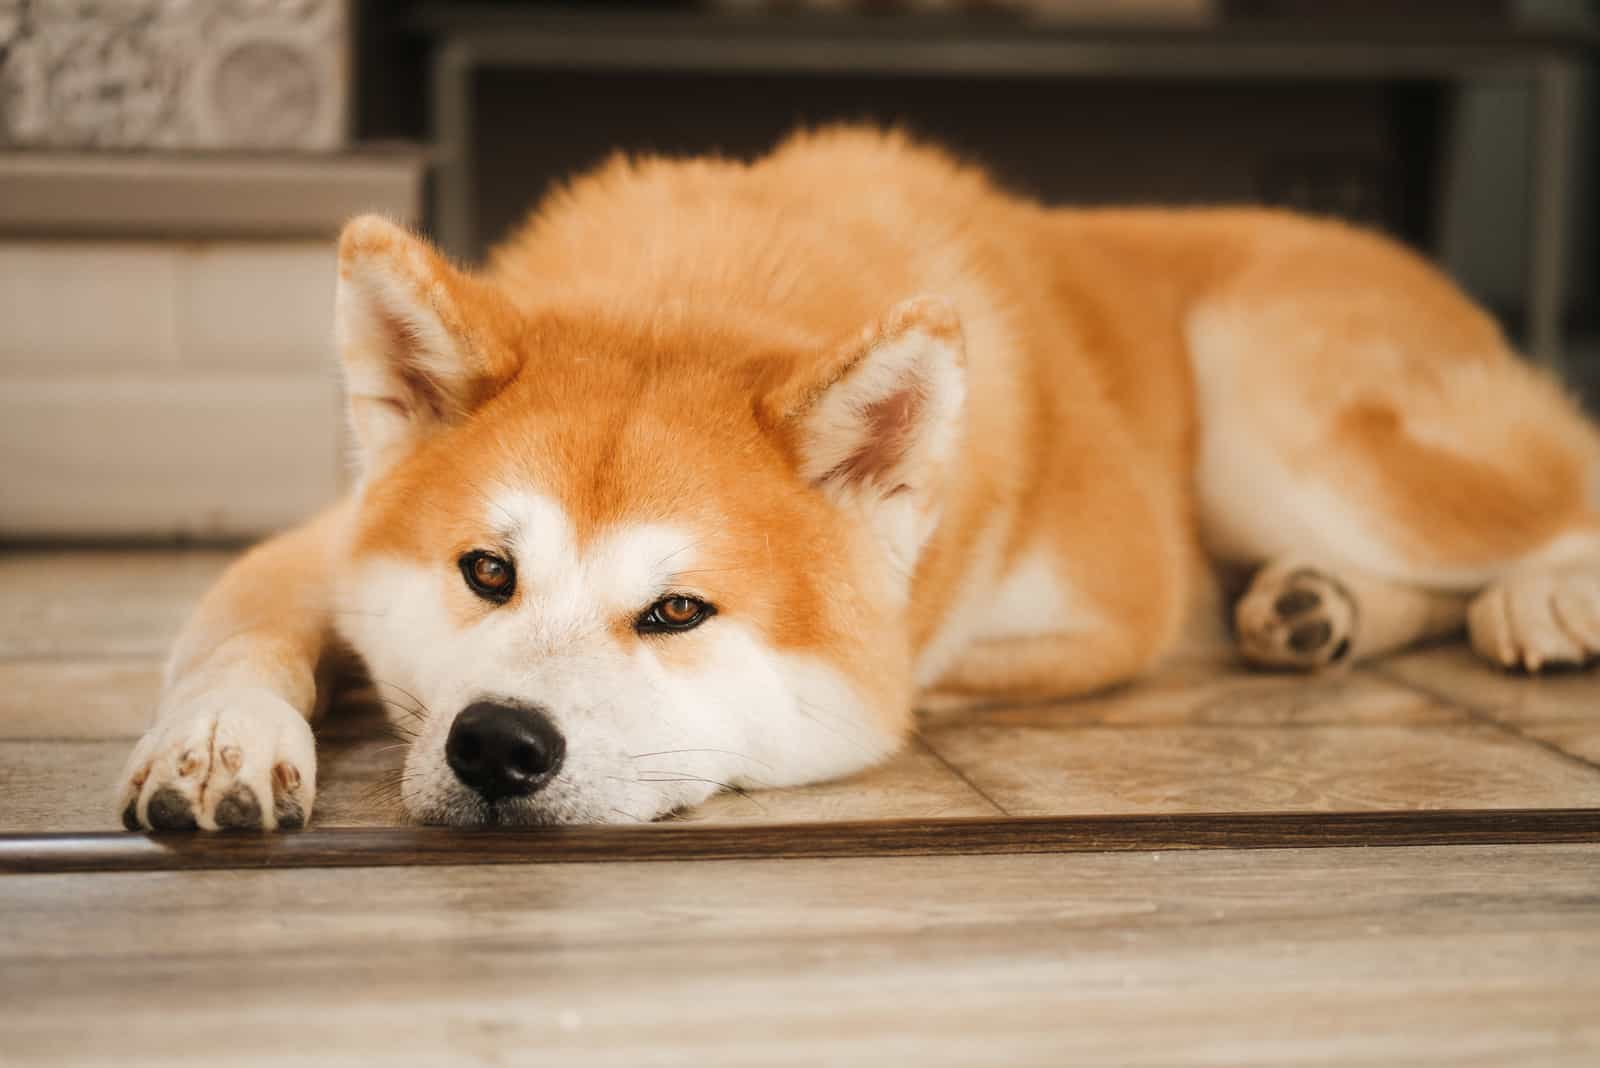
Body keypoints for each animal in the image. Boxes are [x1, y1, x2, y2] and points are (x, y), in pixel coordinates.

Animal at [118, 123, 1600, 824]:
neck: (697, 289)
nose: (495, 743)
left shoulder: (1115, 600)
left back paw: (1532, 601)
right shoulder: (322, 542)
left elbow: (920, 674)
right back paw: (1313, 608)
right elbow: (237, 630)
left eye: (676, 611)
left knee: (1560, 493)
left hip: (1273, 429)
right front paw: (222, 738)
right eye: (487, 572)